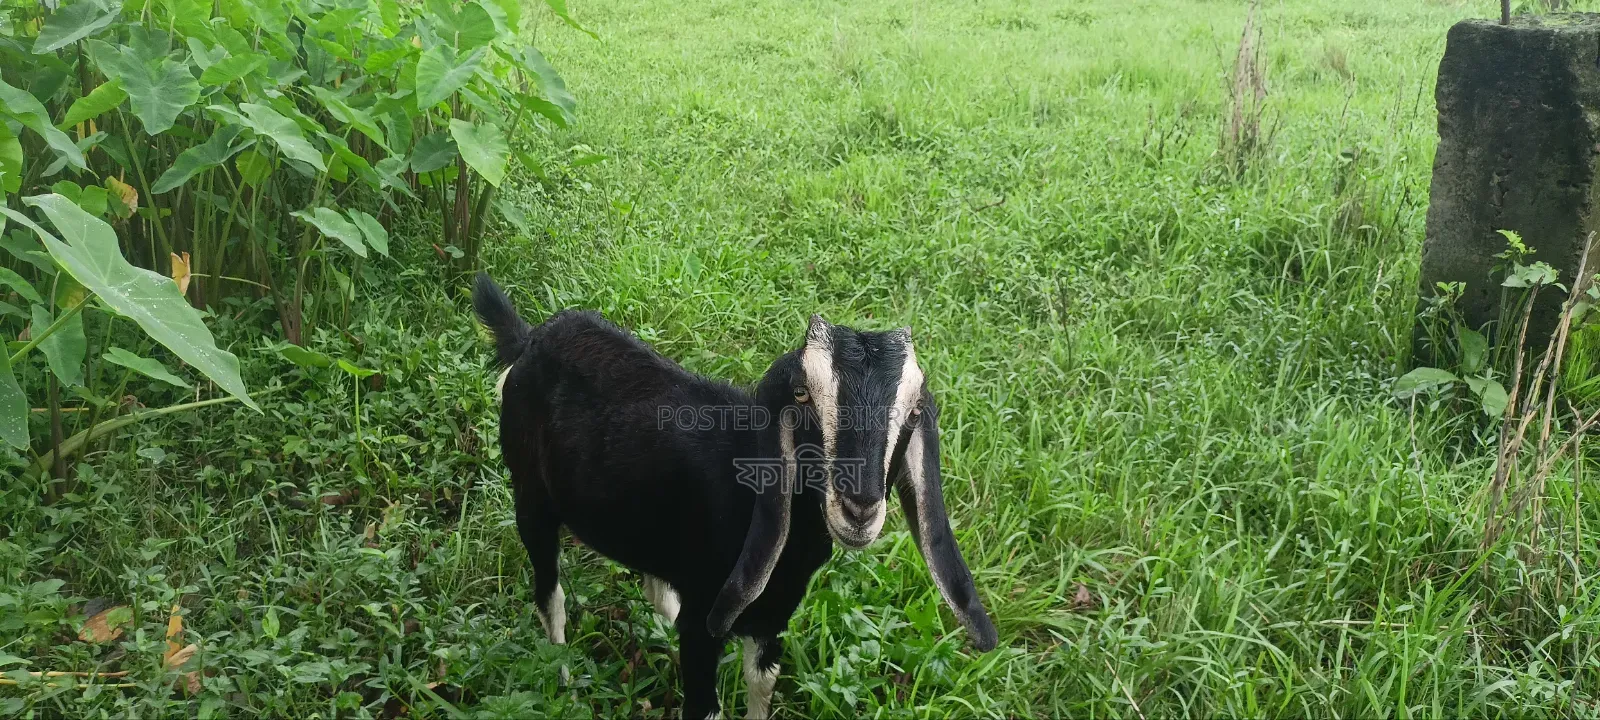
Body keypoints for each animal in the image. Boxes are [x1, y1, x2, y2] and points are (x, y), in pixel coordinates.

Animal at [473, 273, 998, 719]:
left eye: (912, 413)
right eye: (802, 395)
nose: (860, 509)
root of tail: (531, 340)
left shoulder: (772, 619)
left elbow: (761, 684)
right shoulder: (705, 623)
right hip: (530, 496)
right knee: (550, 594)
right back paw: (561, 675)